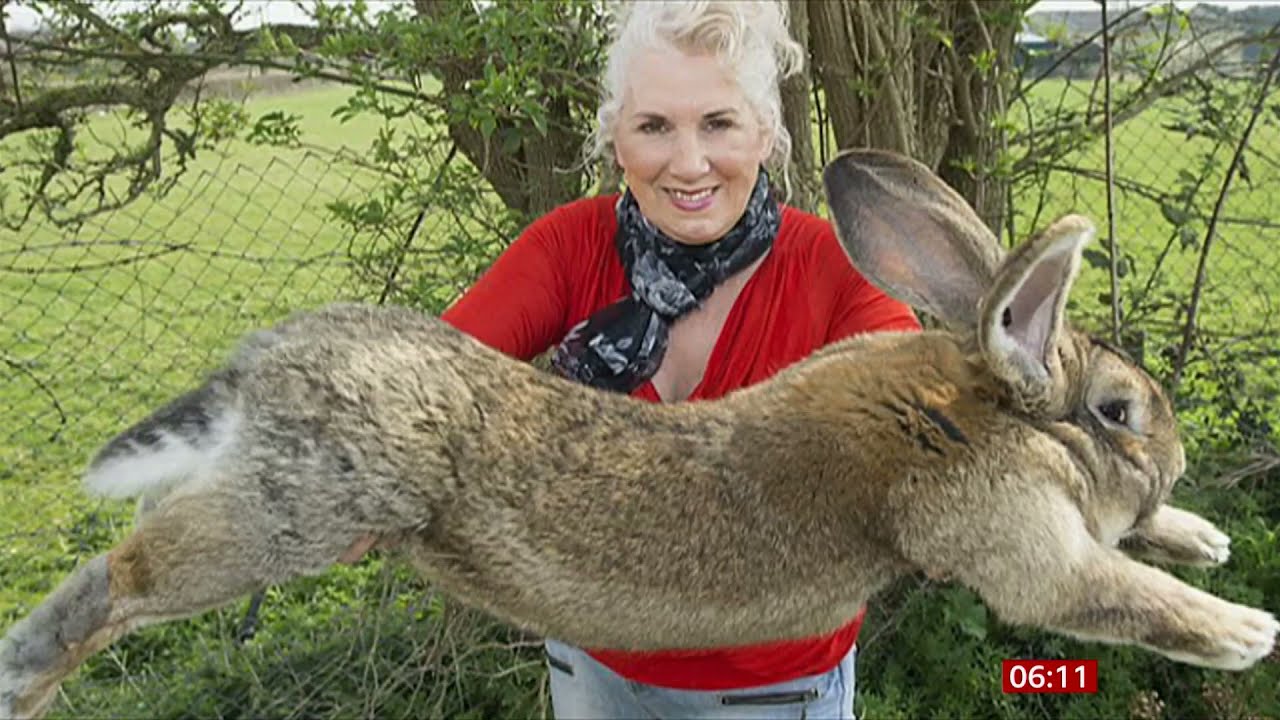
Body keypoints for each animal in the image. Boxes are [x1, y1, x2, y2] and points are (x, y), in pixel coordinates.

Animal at [2, 149, 1276, 719]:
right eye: (1117, 412)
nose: (1170, 460)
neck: (974, 407)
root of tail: (262, 364)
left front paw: (1202, 538)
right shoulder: (1015, 541)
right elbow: (1108, 593)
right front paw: (1243, 630)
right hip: (299, 513)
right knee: (126, 577)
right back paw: (27, 671)